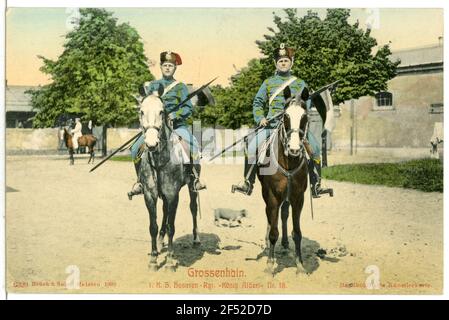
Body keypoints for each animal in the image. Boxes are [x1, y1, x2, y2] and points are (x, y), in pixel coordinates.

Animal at [258, 87, 310, 276]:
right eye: (285, 116)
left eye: (304, 116)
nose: (294, 149)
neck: (288, 162)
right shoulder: (273, 196)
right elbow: (274, 231)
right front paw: (269, 264)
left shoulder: (298, 198)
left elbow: (298, 232)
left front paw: (300, 264)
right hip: (267, 195)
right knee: (269, 216)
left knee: (284, 214)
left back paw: (286, 244)